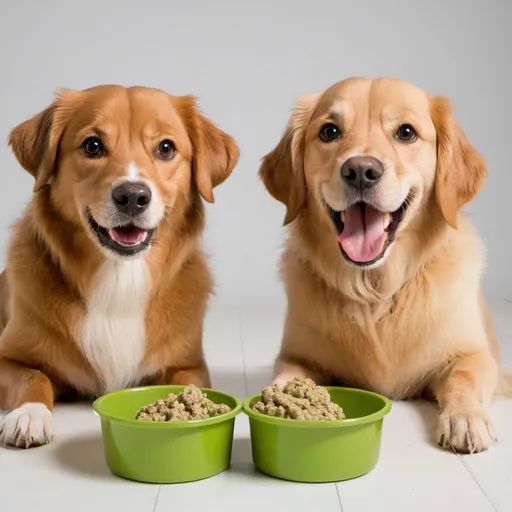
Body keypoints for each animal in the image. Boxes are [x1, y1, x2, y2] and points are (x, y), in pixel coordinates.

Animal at [0, 85, 238, 448]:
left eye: (166, 148)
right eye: (92, 145)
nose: (132, 196)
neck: (118, 278)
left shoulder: (191, 364)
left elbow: (188, 384)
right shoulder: (7, 359)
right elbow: (33, 377)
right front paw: (29, 414)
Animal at [262, 76, 510, 452]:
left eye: (406, 132)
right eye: (329, 131)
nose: (361, 171)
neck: (376, 293)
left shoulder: (475, 354)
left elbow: (463, 378)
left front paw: (465, 419)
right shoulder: (296, 355)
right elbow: (287, 376)